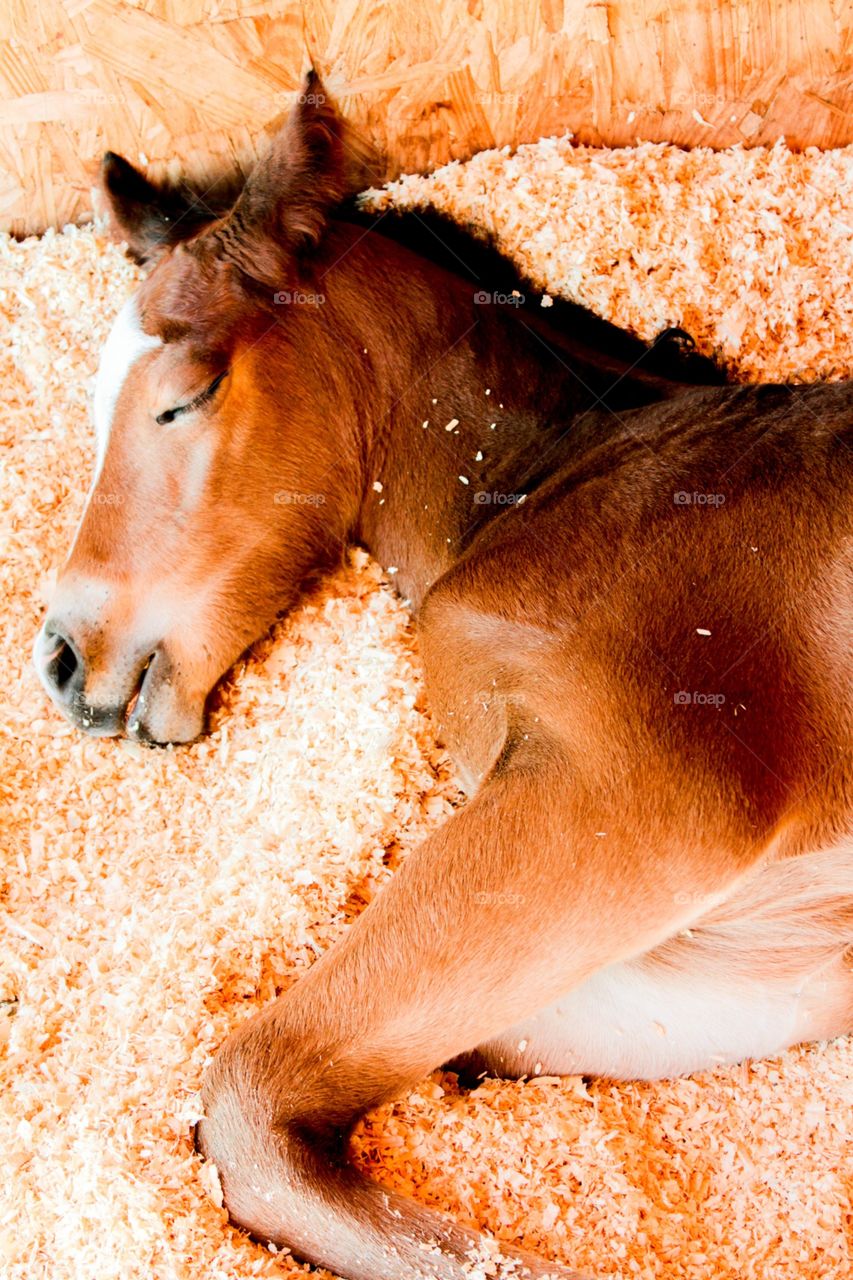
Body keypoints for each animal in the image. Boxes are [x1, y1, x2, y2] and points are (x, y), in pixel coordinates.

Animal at [34, 76, 852, 1280]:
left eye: (186, 396)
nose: (60, 657)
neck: (549, 480)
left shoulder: (642, 800)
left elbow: (249, 1098)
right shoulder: (738, 970)